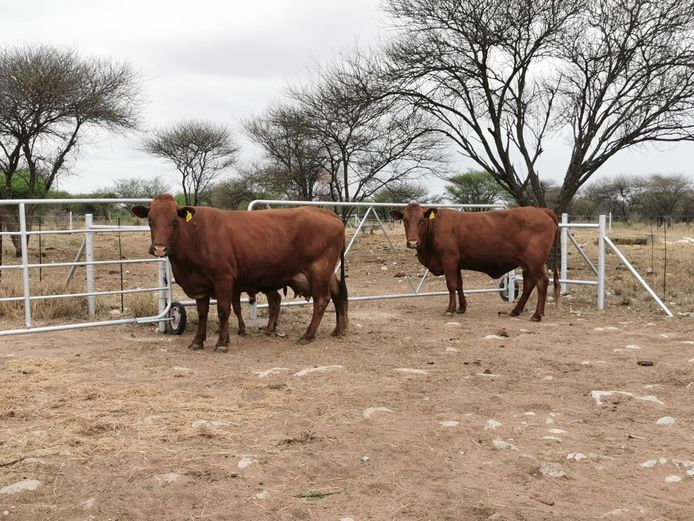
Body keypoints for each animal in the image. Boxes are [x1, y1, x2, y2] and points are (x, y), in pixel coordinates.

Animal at [132, 193, 348, 352]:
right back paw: (340, 329)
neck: (195, 235)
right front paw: (197, 342)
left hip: (319, 270)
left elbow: (223, 311)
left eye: (174, 221)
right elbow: (202, 313)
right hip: (326, 273)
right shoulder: (200, 286)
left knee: (322, 300)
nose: (159, 249)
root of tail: (328, 213)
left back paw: (308, 335)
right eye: (150, 220)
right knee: (337, 294)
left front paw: (222, 343)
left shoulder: (224, 279)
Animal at [392, 203, 560, 320]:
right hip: (529, 263)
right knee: (529, 283)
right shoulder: (457, 263)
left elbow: (451, 285)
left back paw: (537, 315)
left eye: (421, 220)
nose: (413, 242)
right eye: (404, 220)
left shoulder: (449, 259)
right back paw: (515, 311)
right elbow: (459, 285)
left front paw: (450, 310)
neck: (434, 228)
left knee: (541, 282)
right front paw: (461, 308)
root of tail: (541, 210)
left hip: (535, 262)